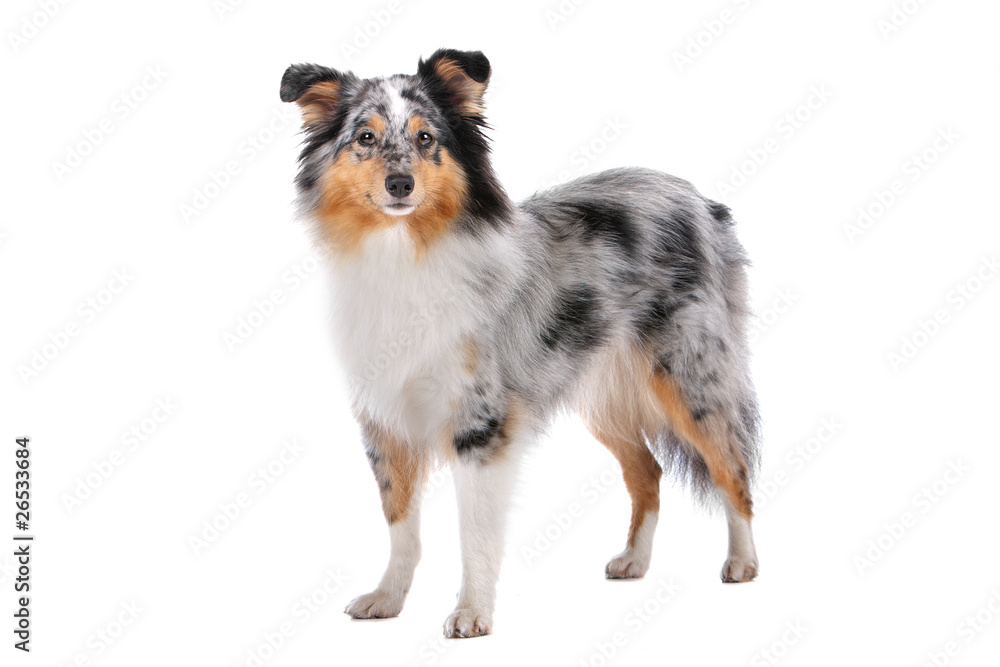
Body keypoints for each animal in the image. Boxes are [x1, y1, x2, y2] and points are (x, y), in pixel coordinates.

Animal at [278, 49, 760, 640]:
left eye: (425, 138)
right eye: (365, 137)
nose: (399, 184)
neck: (405, 252)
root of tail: (700, 200)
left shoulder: (481, 423)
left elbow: (474, 532)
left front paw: (471, 613)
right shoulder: (387, 419)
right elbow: (400, 523)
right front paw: (387, 599)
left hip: (693, 379)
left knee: (733, 468)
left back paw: (742, 562)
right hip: (603, 398)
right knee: (648, 471)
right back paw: (634, 561)